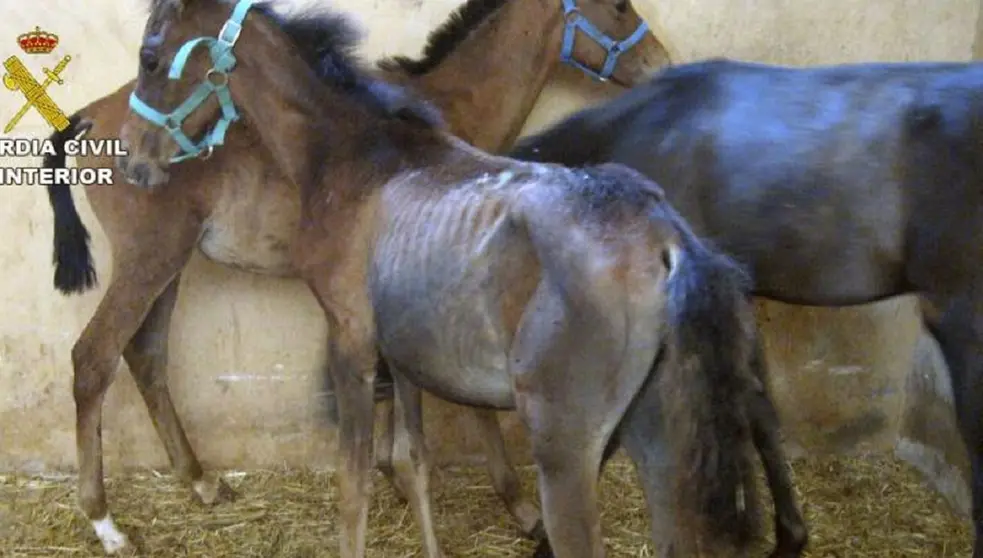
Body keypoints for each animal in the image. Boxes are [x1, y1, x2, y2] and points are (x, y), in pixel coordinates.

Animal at [115, 0, 781, 556]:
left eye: (150, 57)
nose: (134, 157)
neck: (356, 153)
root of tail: (668, 243)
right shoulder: (402, 355)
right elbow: (414, 463)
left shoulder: (353, 343)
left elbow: (354, 485)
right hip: (658, 439)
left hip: (566, 450)